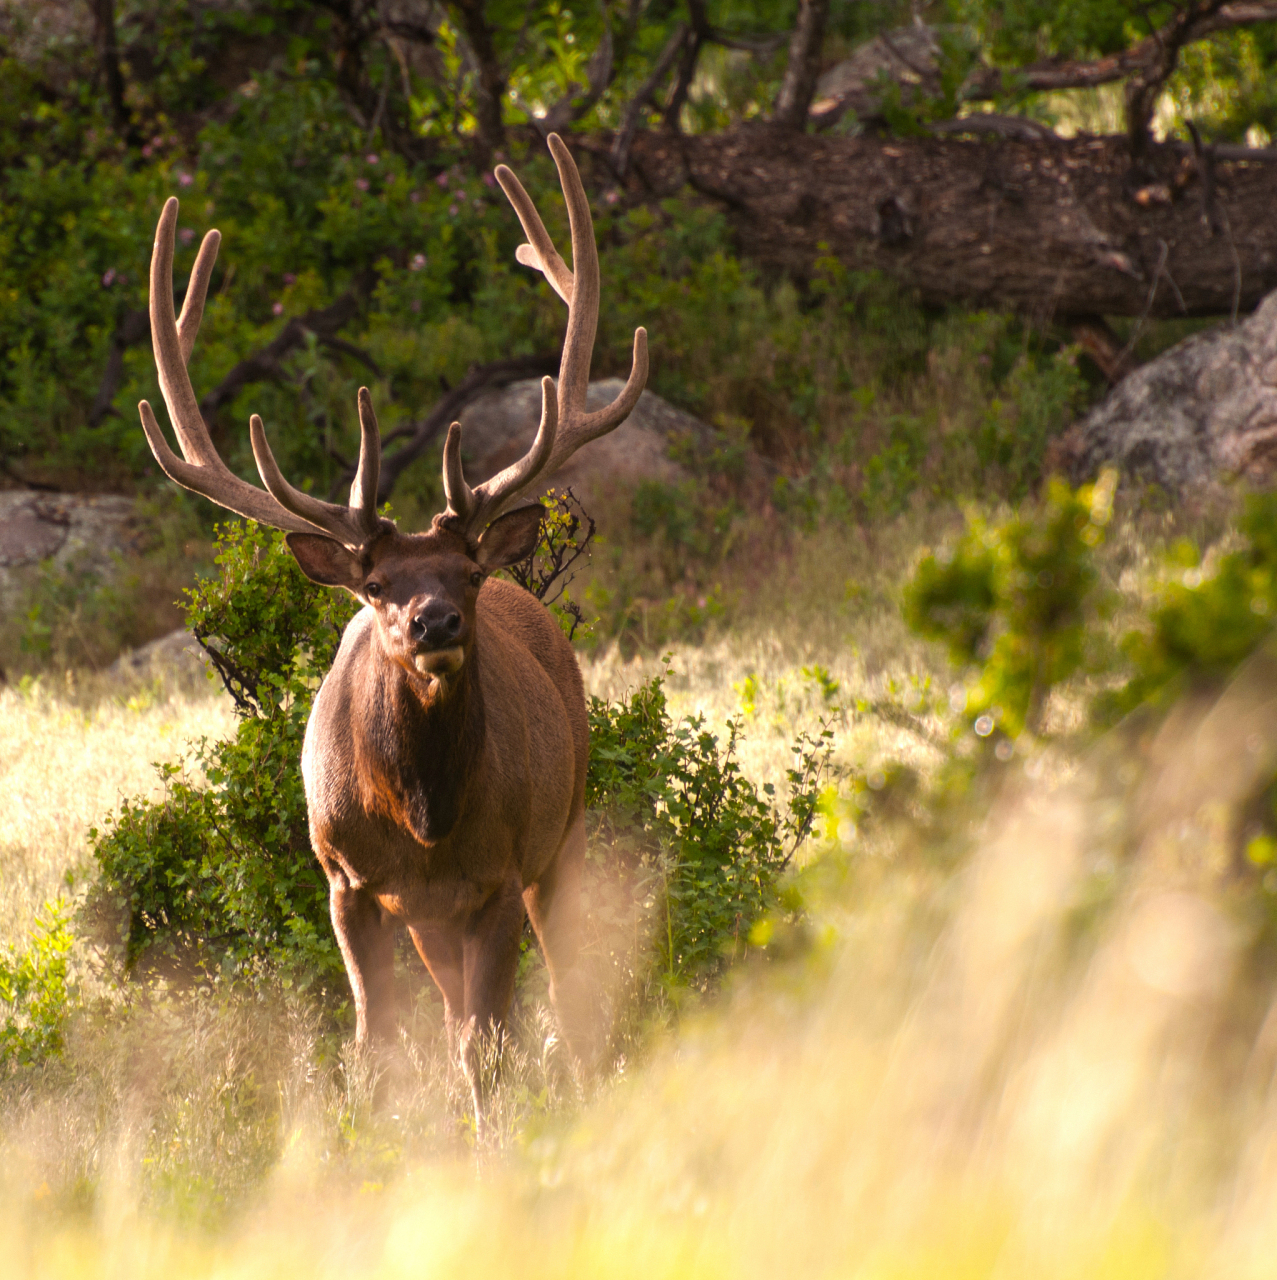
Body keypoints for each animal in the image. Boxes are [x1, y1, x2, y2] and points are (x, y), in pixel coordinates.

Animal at [140, 132, 650, 1111]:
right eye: (373, 586)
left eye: (469, 572)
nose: (436, 622)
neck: (423, 819)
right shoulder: (345, 881)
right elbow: (374, 1044)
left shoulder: (497, 876)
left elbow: (488, 1043)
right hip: (427, 916)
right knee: (450, 1013)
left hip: (561, 830)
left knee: (560, 998)